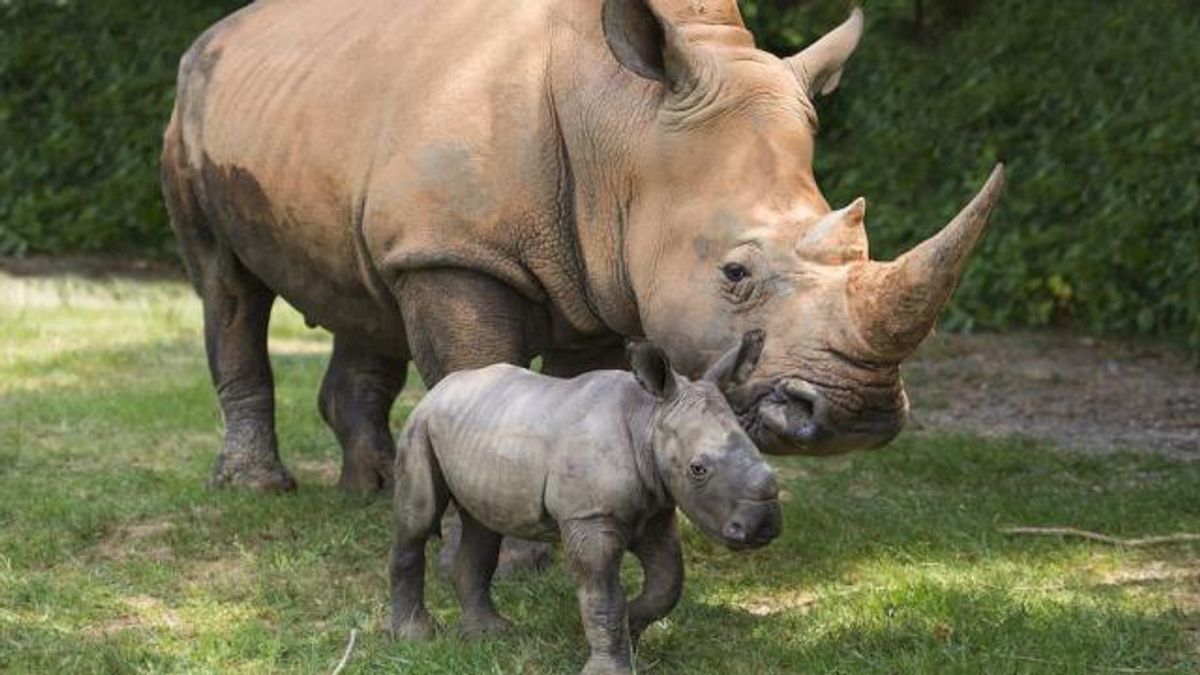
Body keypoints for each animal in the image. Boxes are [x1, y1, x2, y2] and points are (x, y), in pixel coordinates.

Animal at [161, 0, 1005, 493]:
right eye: (735, 272)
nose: (859, 412)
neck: (626, 123)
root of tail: (217, 31)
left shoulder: (605, 273)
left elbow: (574, 396)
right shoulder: (459, 253)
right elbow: (481, 377)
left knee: (364, 295)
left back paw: (373, 491)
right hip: (189, 110)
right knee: (228, 287)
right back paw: (257, 488)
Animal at [388, 331, 779, 675]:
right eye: (698, 469)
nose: (763, 525)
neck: (649, 419)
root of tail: (441, 387)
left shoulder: (656, 509)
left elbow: (668, 582)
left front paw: (631, 631)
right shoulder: (589, 516)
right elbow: (603, 592)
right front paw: (611, 665)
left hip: (478, 427)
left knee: (483, 525)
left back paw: (488, 635)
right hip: (420, 425)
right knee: (418, 520)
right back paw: (413, 637)